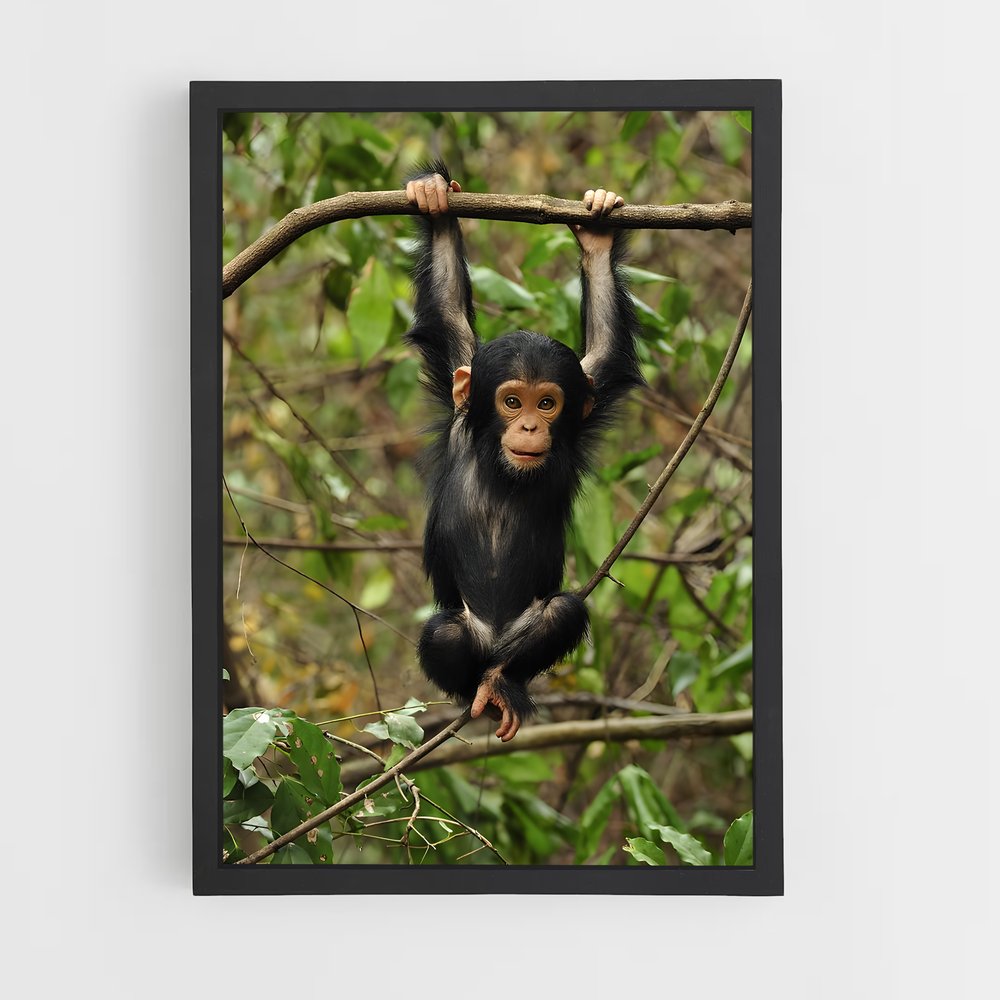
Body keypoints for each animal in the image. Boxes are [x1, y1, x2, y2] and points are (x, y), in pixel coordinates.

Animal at [403, 161, 642, 741]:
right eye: (512, 401)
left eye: (548, 403)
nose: (531, 424)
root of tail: (493, 647)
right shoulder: (460, 389)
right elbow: (446, 311)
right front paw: (434, 201)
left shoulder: (583, 401)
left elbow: (606, 347)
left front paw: (598, 236)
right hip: (466, 637)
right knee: (445, 635)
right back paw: (479, 692)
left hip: (523, 639)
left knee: (561, 615)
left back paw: (502, 684)